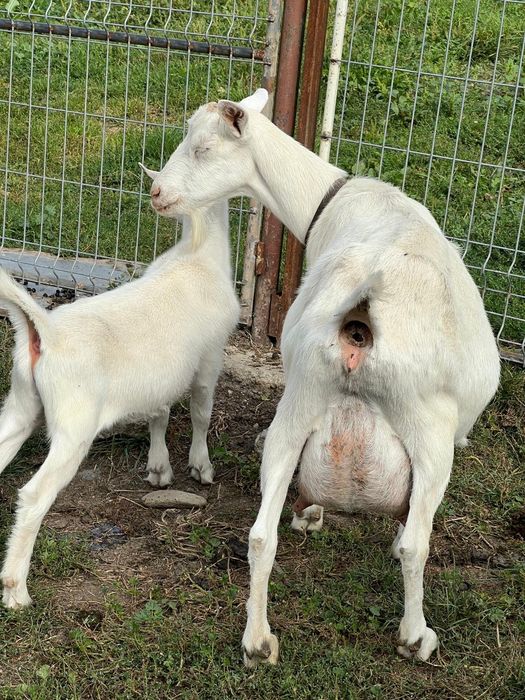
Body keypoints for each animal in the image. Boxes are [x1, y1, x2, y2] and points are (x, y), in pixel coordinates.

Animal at [0, 200, 239, 608]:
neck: (199, 254)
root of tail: (44, 332)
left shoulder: (160, 379)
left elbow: (160, 412)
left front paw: (159, 470)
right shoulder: (210, 357)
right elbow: (201, 412)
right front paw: (201, 467)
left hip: (21, 403)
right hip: (74, 425)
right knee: (35, 494)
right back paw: (16, 592)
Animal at [143, 89, 500, 665]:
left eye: (202, 148)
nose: (157, 192)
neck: (333, 202)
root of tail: (365, 305)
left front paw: (308, 516)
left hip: (299, 401)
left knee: (260, 534)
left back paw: (258, 641)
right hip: (429, 432)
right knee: (414, 544)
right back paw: (415, 636)